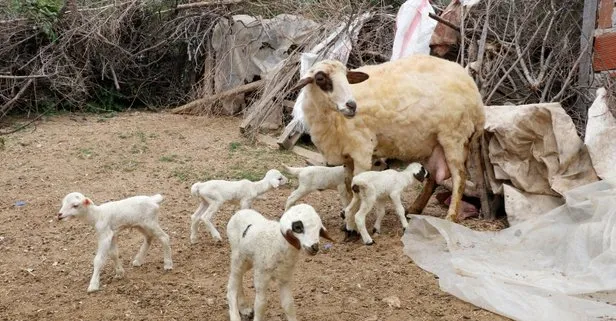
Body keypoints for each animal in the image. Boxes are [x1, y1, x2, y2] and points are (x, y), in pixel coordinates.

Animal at [292, 53, 488, 238]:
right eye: (320, 78)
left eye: (347, 77)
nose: (351, 106)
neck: (330, 118)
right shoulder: (347, 156)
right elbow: (348, 187)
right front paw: (347, 222)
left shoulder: (362, 150)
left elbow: (356, 191)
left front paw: (352, 227)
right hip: (432, 144)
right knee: (433, 178)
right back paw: (414, 210)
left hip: (454, 137)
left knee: (459, 177)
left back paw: (450, 217)